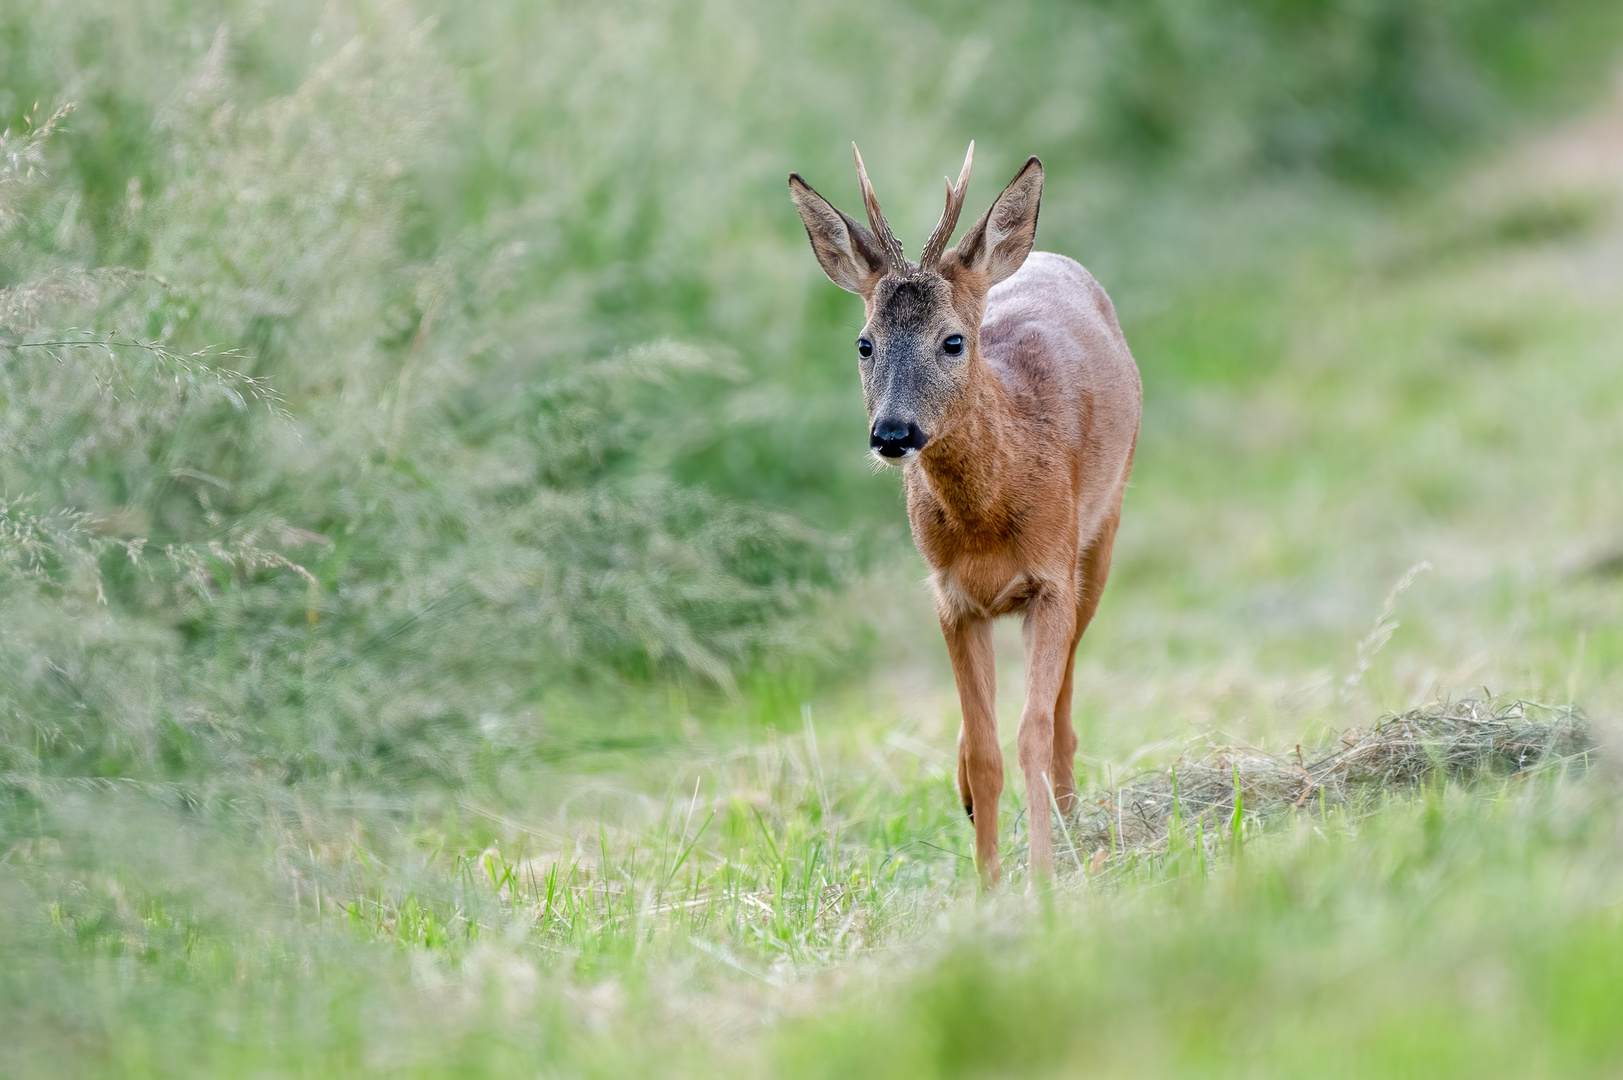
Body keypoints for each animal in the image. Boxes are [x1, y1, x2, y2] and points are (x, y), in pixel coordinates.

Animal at [785, 142, 1142, 883]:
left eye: (952, 341)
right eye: (864, 343)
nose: (893, 433)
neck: (989, 519)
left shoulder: (1050, 578)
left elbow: (1031, 733)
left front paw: (1041, 878)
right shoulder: (950, 598)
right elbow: (984, 752)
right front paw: (987, 885)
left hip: (1102, 531)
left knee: (1064, 695)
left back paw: (1070, 817)